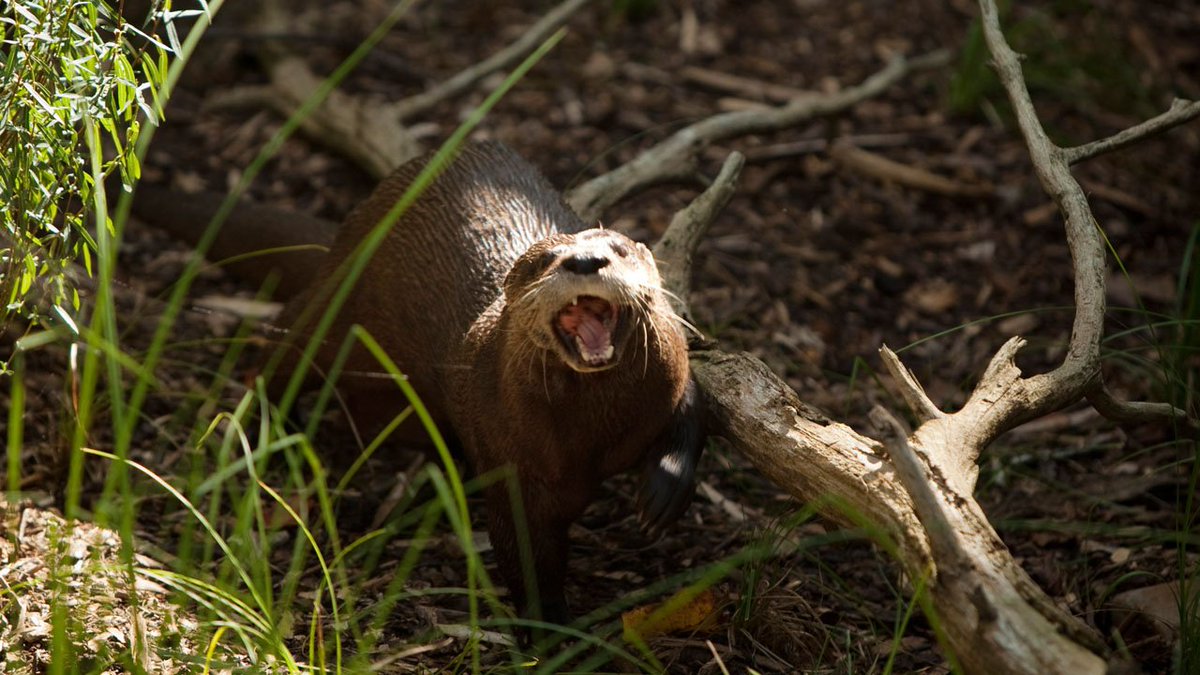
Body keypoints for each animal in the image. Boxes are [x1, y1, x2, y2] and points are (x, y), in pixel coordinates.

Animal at [132, 141, 704, 625]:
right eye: (546, 260)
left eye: (617, 248)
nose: (586, 261)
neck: (591, 435)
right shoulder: (515, 464)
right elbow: (525, 554)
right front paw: (549, 632)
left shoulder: (673, 379)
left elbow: (692, 414)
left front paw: (662, 494)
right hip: (335, 302)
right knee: (280, 352)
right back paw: (264, 426)